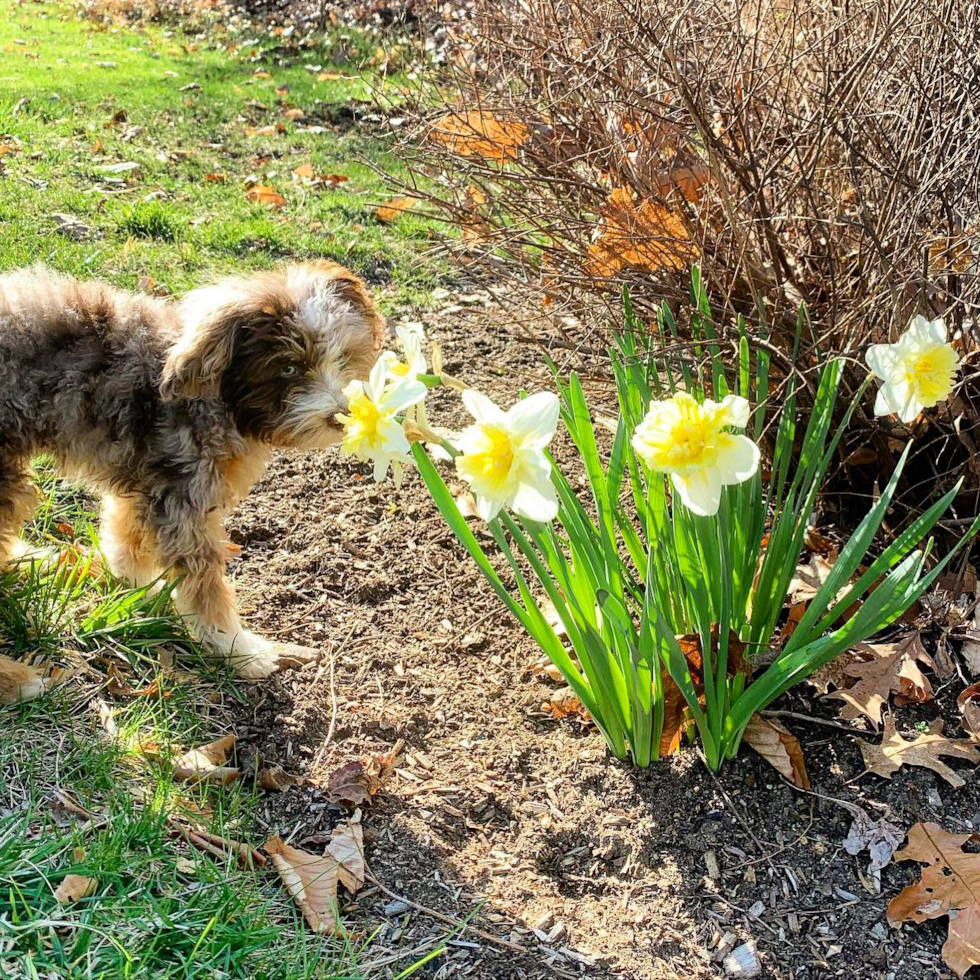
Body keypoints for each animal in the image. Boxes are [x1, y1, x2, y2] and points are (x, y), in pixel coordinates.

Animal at [0, 260, 384, 676]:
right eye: (288, 368)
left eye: (344, 357)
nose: (341, 417)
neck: (214, 397)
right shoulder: (182, 500)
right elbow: (204, 586)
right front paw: (239, 648)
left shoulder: (147, 481)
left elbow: (126, 536)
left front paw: (135, 586)